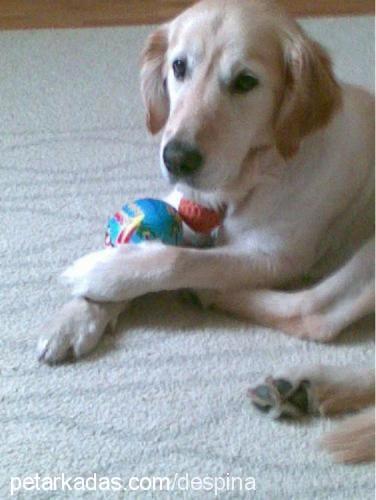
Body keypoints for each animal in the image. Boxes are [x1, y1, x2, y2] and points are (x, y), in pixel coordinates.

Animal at [37, 0, 374, 462]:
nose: (176, 158)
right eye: (179, 67)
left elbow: (177, 259)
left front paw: (102, 272)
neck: (256, 172)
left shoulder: (275, 256)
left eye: (246, 81)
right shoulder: (183, 206)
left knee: (314, 313)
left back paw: (211, 296)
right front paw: (75, 318)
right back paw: (308, 387)